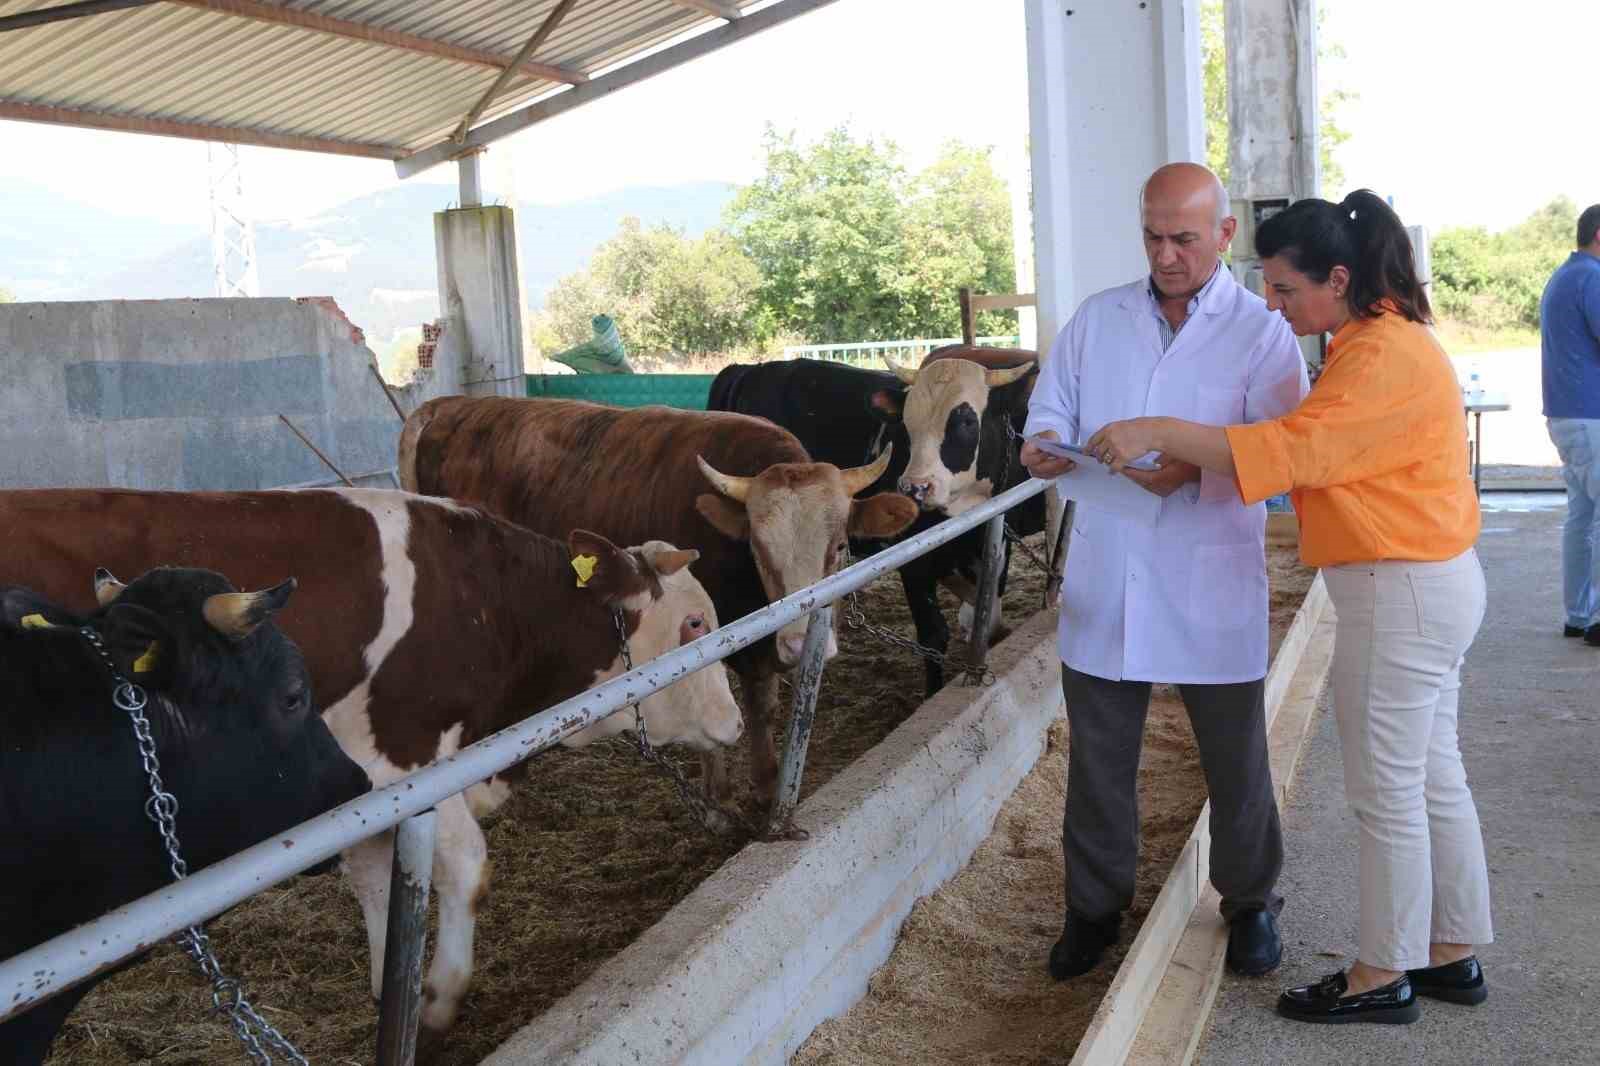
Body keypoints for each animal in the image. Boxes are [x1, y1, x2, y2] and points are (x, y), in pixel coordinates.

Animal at [400, 393, 928, 800]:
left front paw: (765, 785)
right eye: (758, 548)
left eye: (839, 545)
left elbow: (763, 708)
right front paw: (720, 794)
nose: (799, 643)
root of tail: (449, 405)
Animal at [707, 348, 1043, 694]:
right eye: (907, 423)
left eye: (965, 420)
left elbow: (987, 618)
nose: (914, 487)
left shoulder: (998, 542)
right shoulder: (913, 558)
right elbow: (933, 635)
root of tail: (748, 370)